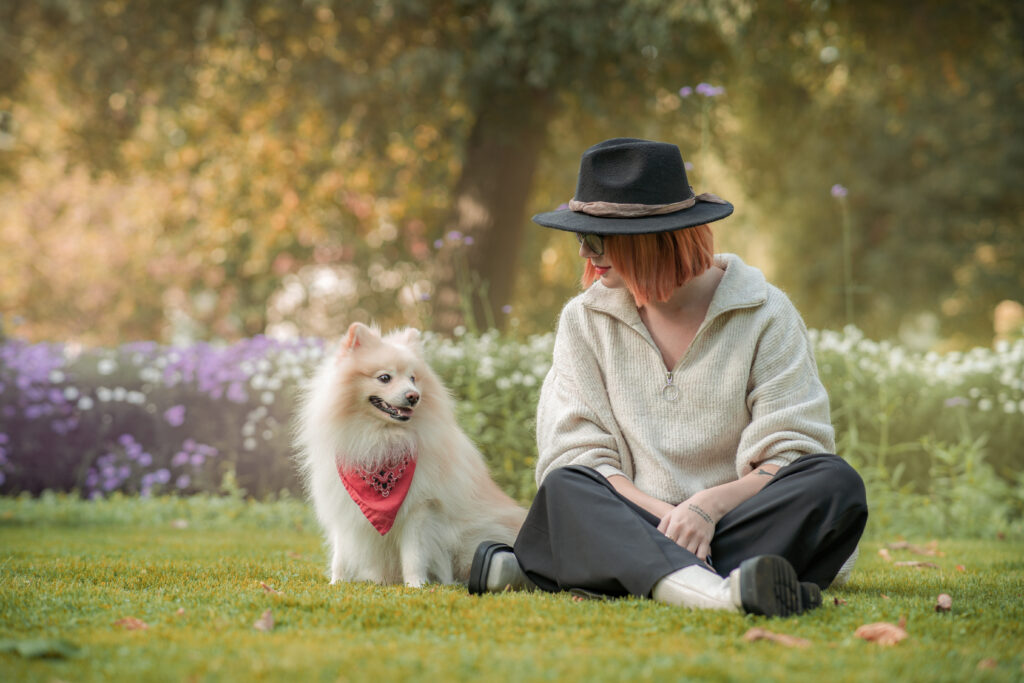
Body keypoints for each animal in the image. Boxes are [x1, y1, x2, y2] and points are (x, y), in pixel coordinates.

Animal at [292, 321, 524, 589]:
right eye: (385, 377)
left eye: (413, 378)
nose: (414, 396)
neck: (380, 441)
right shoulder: (344, 503)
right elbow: (341, 554)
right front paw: (337, 583)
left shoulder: (420, 507)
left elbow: (413, 554)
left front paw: (416, 585)